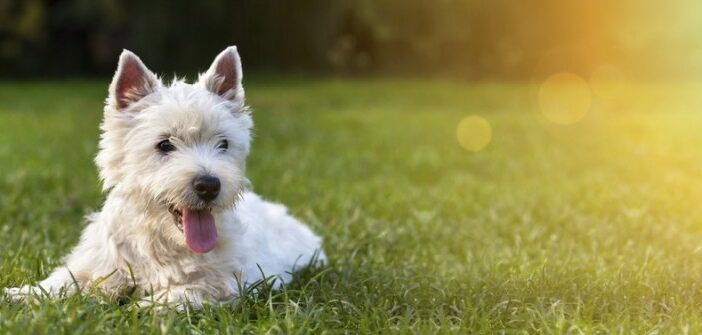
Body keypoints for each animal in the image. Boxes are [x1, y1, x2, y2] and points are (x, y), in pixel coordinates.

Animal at [4, 46, 328, 310]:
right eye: (164, 144)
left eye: (223, 143)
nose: (209, 185)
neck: (161, 240)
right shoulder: (99, 265)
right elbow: (62, 281)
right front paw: (18, 294)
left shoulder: (220, 285)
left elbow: (168, 298)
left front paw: (134, 309)